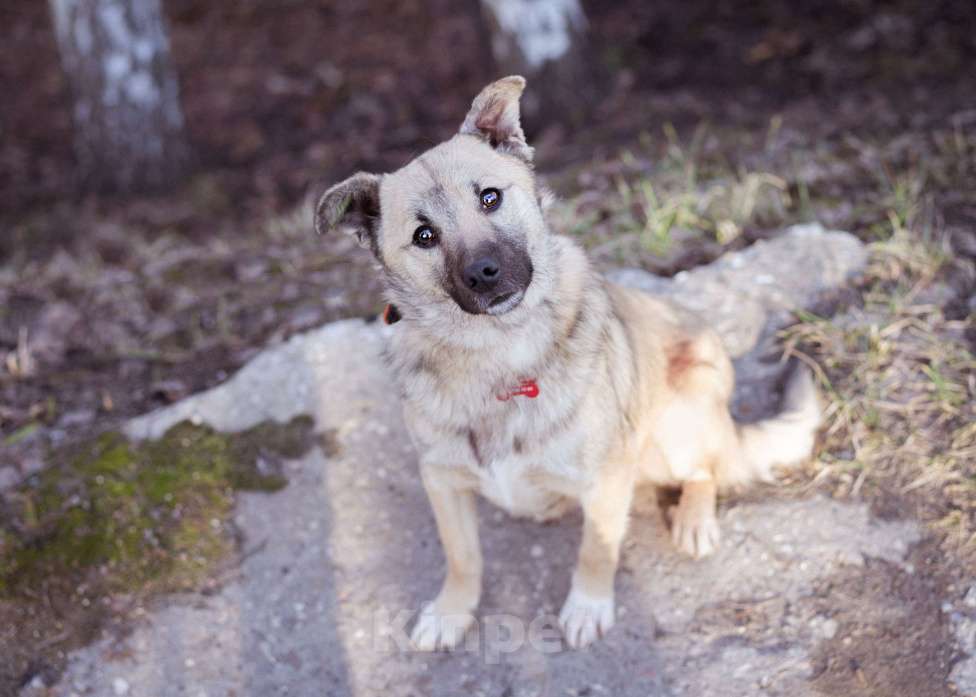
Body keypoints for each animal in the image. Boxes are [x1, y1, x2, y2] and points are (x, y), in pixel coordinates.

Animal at [316, 77, 820, 652]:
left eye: (490, 197)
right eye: (424, 235)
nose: (484, 273)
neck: (496, 355)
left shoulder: (605, 477)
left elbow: (597, 547)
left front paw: (588, 604)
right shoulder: (442, 481)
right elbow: (462, 557)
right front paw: (451, 611)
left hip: (678, 421)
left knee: (709, 468)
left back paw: (694, 518)